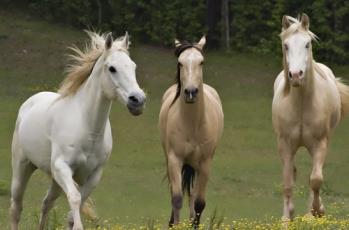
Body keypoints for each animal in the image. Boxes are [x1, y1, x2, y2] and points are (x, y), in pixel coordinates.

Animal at [9, 31, 145, 230]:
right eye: (112, 68)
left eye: (133, 66)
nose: (138, 100)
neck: (88, 129)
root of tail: (30, 102)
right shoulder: (62, 167)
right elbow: (74, 198)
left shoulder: (93, 175)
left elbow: (76, 208)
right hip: (23, 167)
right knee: (16, 208)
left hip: (55, 180)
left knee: (46, 203)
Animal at [158, 36, 223, 227]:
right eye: (180, 63)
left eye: (201, 62)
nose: (191, 92)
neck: (193, 124)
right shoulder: (174, 159)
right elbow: (177, 198)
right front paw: (174, 225)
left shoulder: (206, 163)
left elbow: (199, 203)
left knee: (193, 196)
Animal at [272, 13, 348, 221]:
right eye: (286, 45)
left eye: (307, 44)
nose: (296, 75)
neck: (301, 106)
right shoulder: (285, 145)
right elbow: (287, 182)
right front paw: (286, 218)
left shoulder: (320, 143)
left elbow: (315, 179)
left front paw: (316, 211)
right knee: (292, 173)